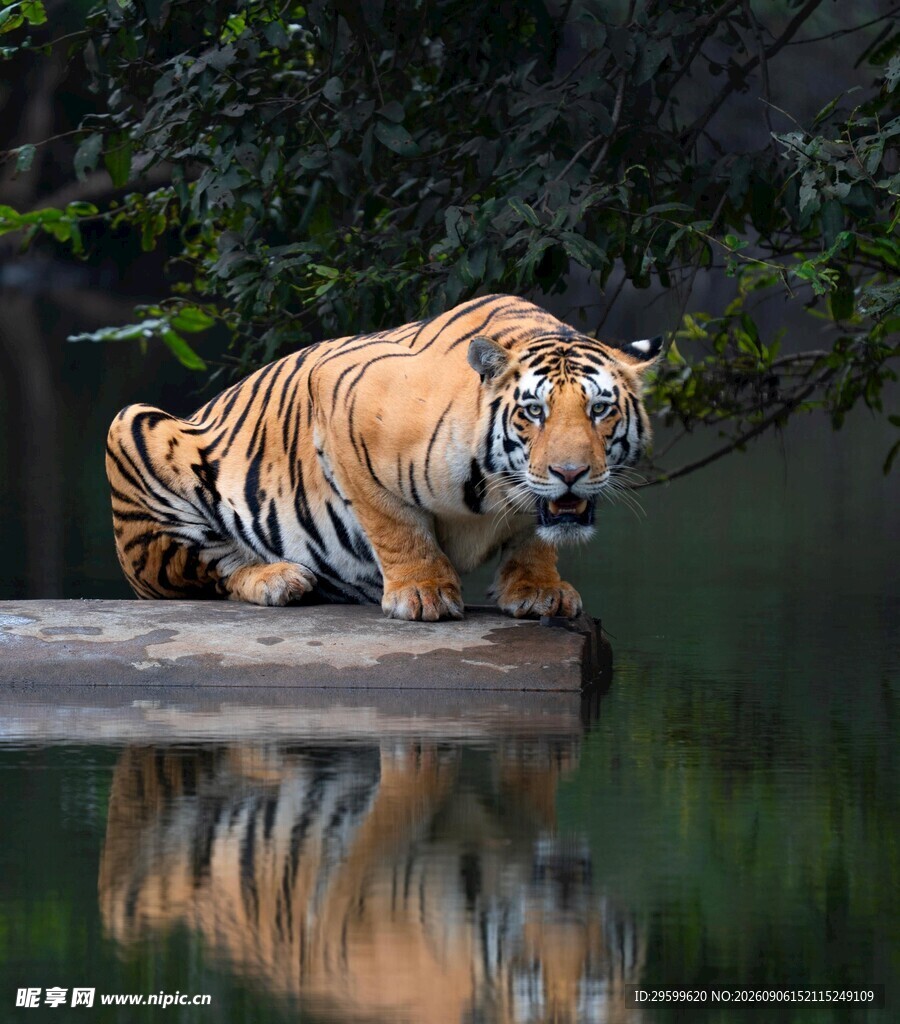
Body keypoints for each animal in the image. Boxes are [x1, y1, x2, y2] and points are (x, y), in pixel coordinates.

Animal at [106, 294, 661, 620]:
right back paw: (278, 578)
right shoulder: (338, 396)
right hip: (132, 429)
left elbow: (535, 534)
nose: (570, 473)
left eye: (599, 409)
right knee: (210, 568)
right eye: (533, 412)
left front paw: (539, 588)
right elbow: (394, 523)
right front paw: (423, 593)